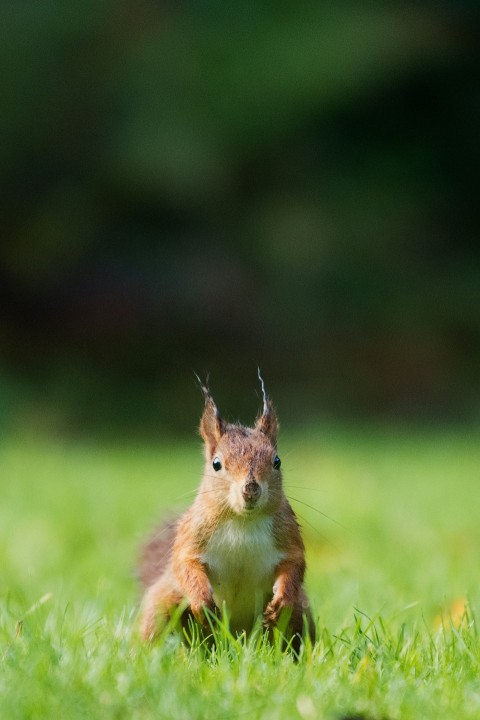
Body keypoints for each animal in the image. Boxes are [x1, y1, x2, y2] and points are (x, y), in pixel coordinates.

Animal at [138, 373, 315, 647]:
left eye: (277, 461)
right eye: (216, 464)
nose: (250, 489)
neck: (242, 521)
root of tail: (234, 638)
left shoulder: (287, 534)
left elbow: (294, 564)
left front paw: (282, 599)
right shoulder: (193, 534)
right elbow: (185, 563)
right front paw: (202, 601)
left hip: (301, 612)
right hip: (163, 602)